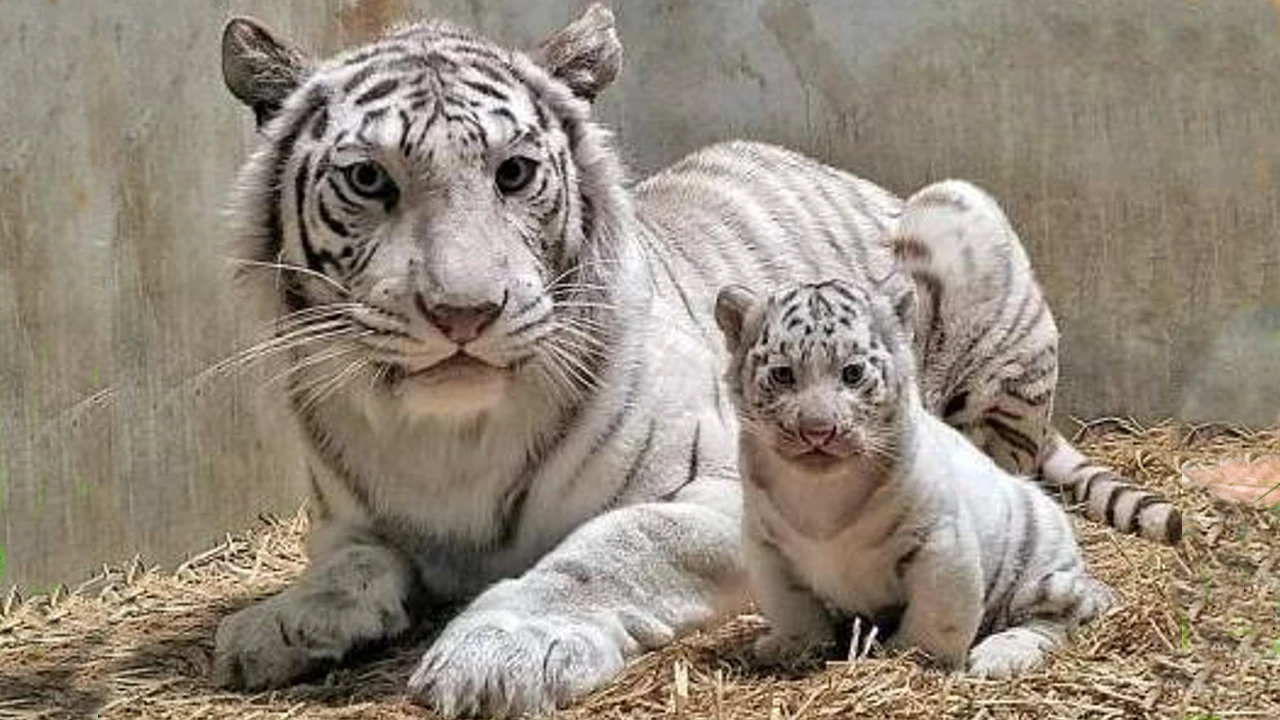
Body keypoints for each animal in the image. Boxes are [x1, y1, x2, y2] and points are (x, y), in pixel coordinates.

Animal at [212, 4, 1177, 712]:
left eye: (514, 173)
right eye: (368, 180)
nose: (464, 312)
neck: (447, 437)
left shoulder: (728, 493)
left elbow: (616, 542)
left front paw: (501, 646)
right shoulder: (348, 520)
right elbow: (349, 564)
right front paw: (280, 621)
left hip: (960, 209)